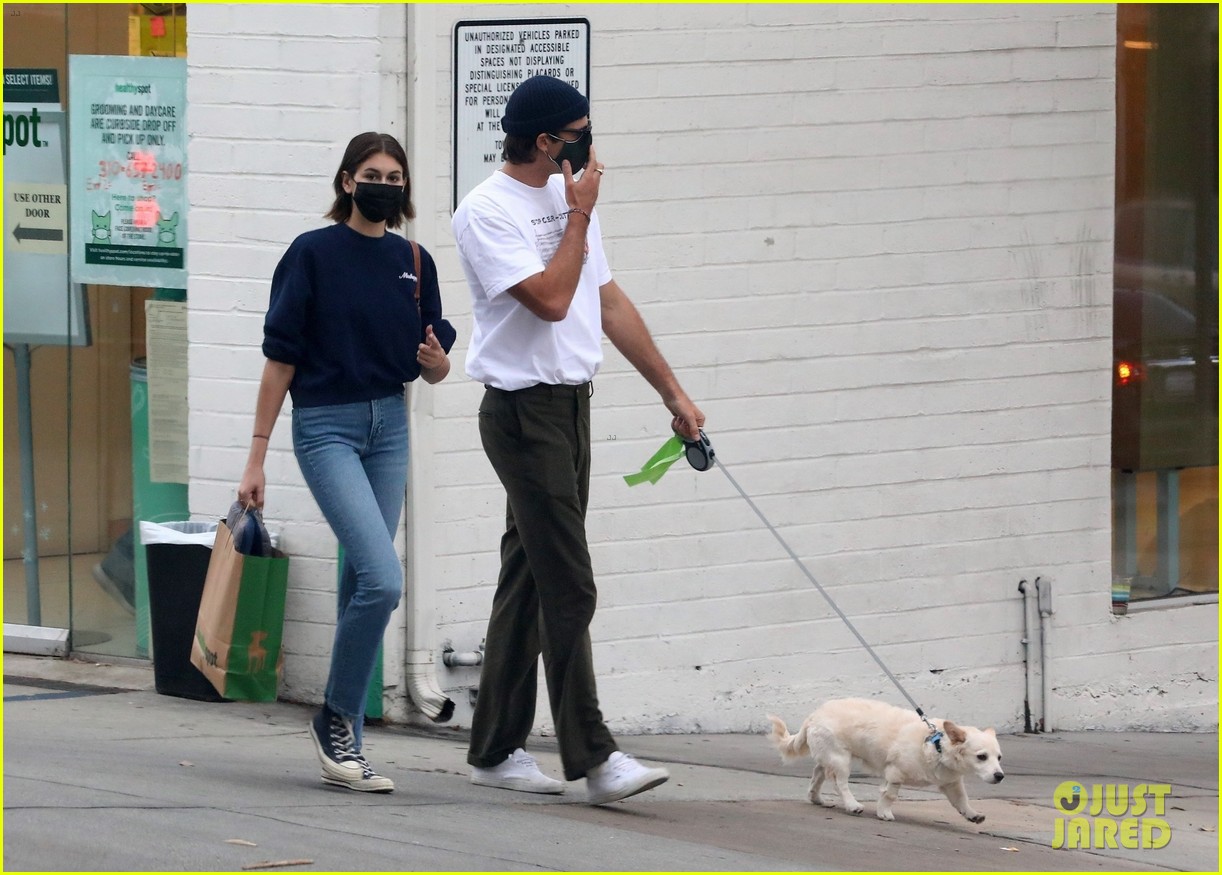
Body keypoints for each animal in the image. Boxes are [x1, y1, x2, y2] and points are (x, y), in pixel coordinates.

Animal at [772, 699, 1002, 821]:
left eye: (999, 757)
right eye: (981, 757)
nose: (1000, 776)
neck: (935, 745)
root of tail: (813, 715)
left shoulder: (952, 783)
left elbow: (961, 799)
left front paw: (972, 814)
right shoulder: (895, 773)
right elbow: (890, 795)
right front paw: (884, 812)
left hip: (828, 756)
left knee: (818, 775)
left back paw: (816, 798)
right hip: (840, 759)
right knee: (839, 783)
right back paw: (852, 804)